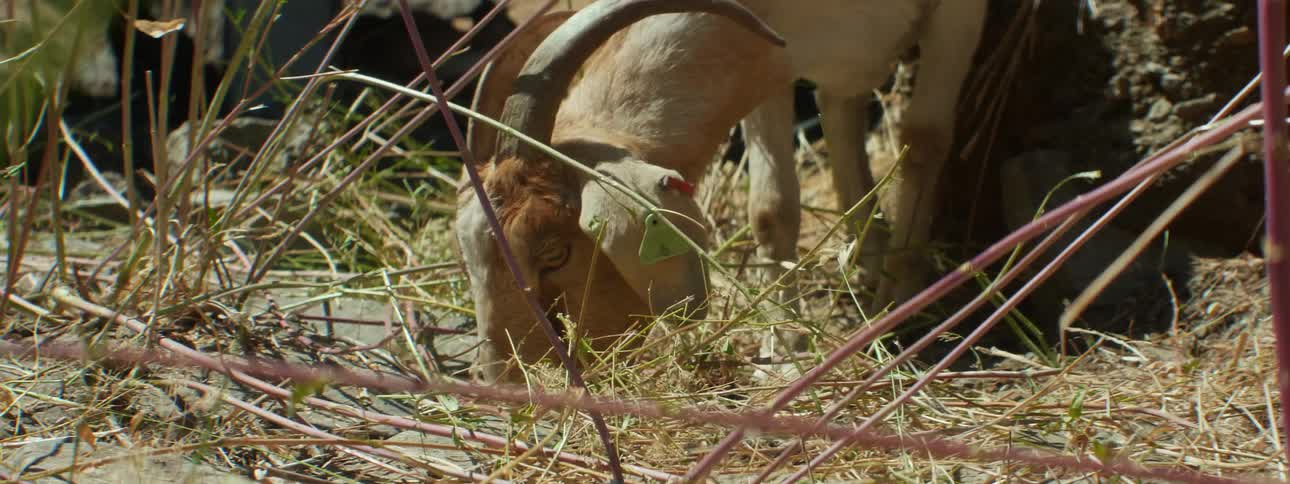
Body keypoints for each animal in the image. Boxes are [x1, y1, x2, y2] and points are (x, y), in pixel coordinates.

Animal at [457, 0, 987, 382]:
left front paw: (898, 312)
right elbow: (772, 209)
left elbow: (924, 138)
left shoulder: (959, 14)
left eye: (555, 253)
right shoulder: (773, 57)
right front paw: (787, 348)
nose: (505, 382)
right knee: (839, 103)